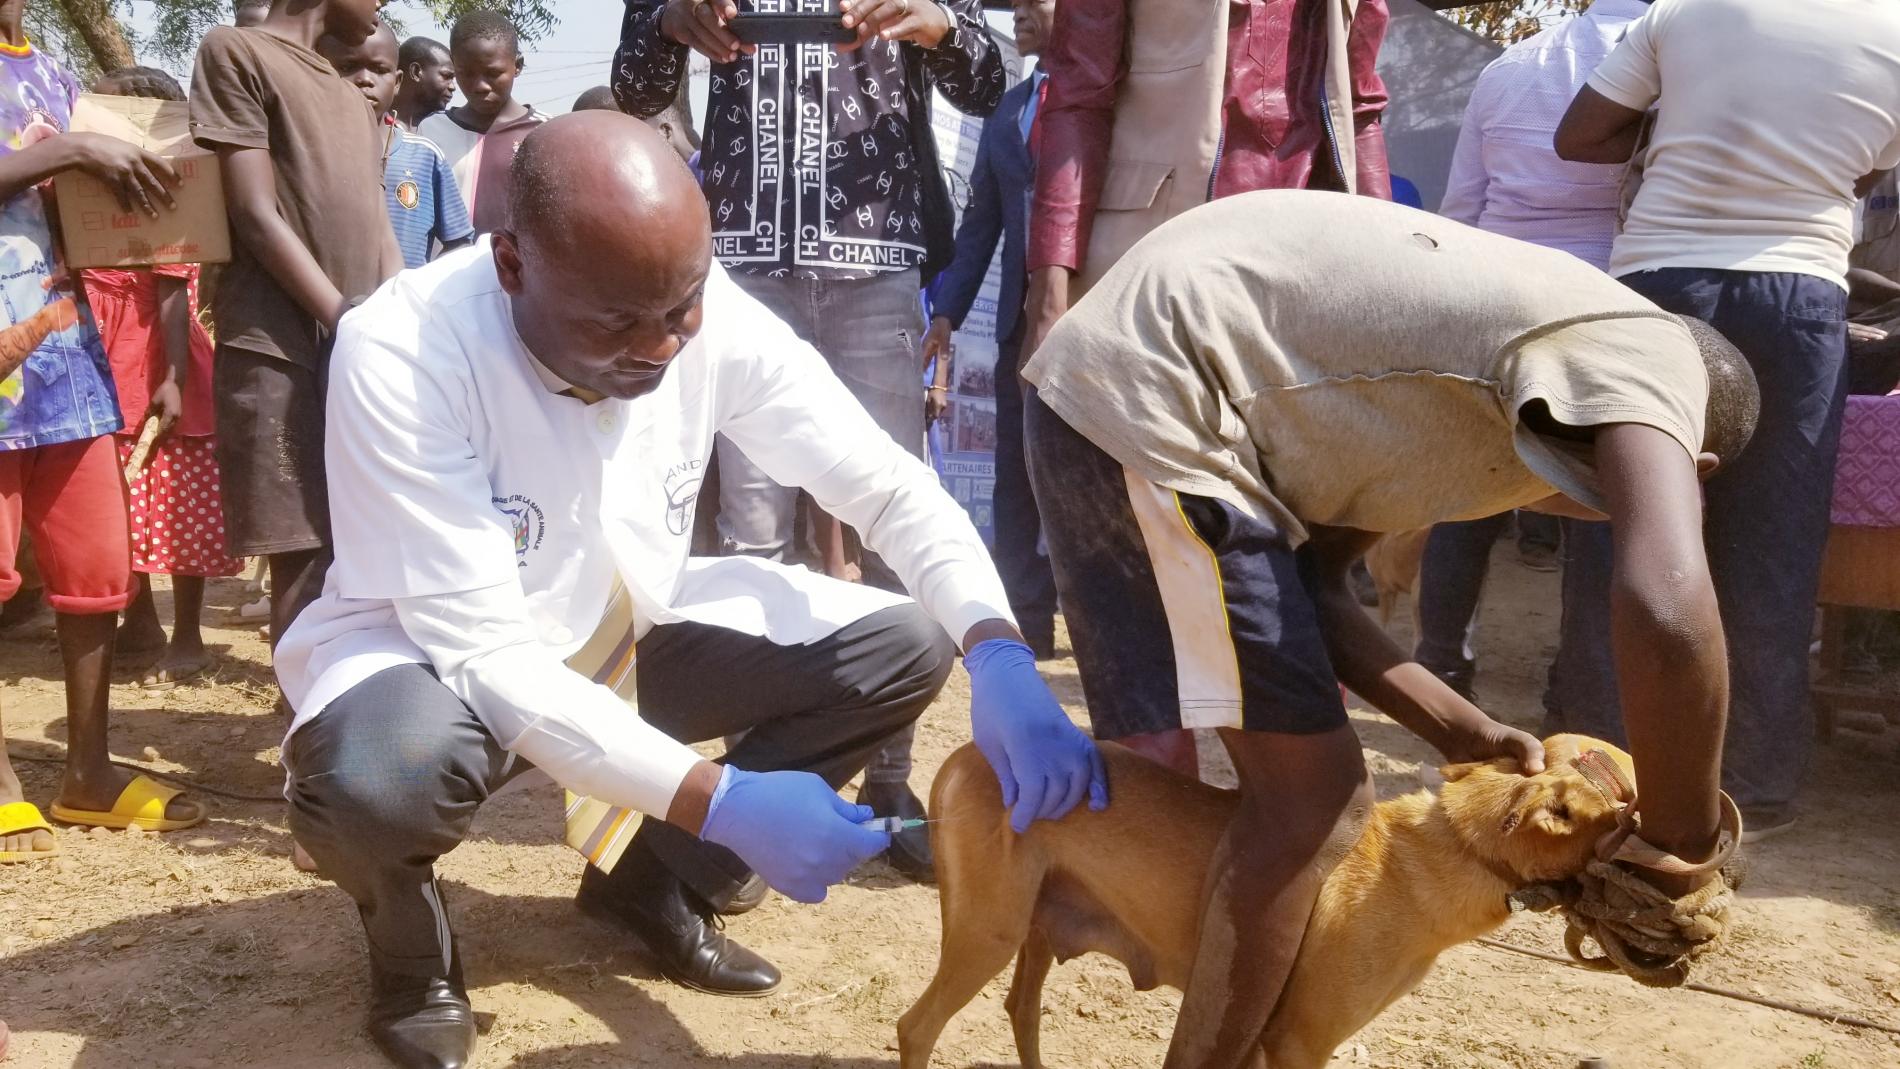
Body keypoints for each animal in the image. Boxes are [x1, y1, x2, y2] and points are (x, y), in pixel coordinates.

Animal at [896, 736, 1626, 1069]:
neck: (1448, 844)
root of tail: (967, 752)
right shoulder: (1300, 1039)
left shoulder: (1258, 1032)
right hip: (989, 933)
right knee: (916, 1027)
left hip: (1036, 929)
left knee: (1020, 1010)